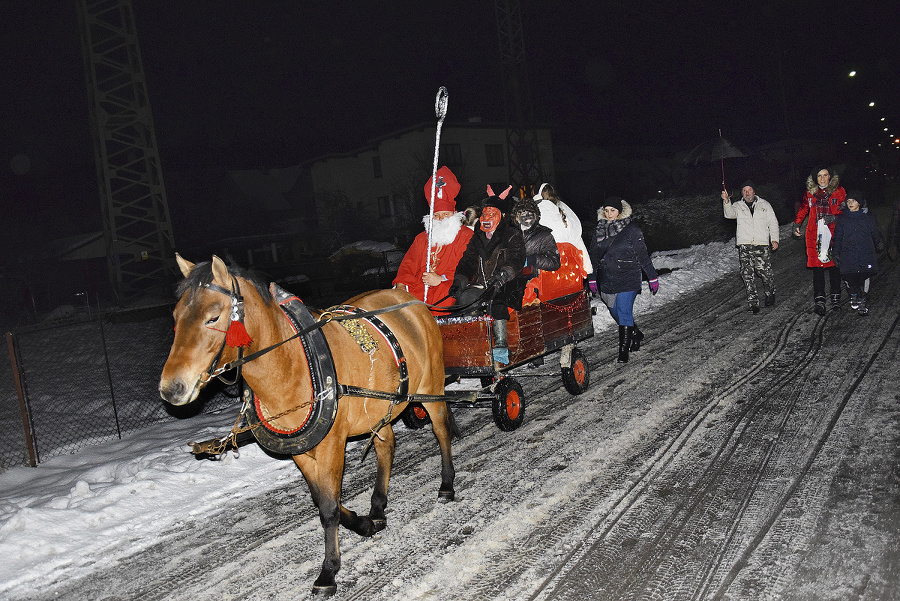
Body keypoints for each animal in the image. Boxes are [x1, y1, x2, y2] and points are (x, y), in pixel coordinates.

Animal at [156, 254, 458, 596]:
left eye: (213, 317)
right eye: (176, 316)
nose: (171, 388)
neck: (290, 363)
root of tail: (412, 300)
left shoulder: (331, 445)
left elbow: (328, 507)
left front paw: (329, 570)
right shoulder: (300, 449)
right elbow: (323, 499)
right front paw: (362, 522)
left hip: (430, 386)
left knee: (441, 430)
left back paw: (447, 484)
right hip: (379, 404)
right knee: (386, 445)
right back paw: (378, 507)